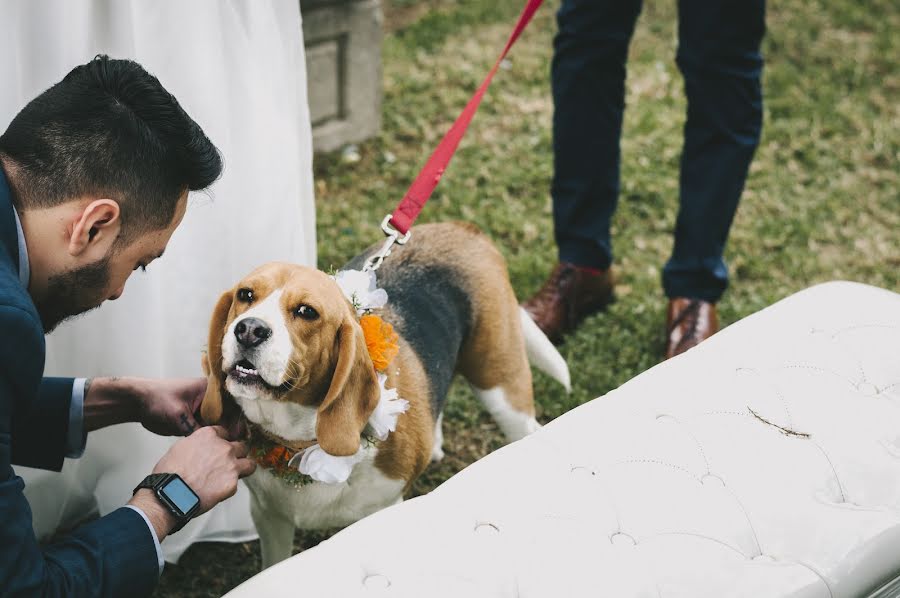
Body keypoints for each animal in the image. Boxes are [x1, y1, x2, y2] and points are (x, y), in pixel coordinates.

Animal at [203, 223, 568, 568]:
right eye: (245, 294)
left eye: (307, 312)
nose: (249, 330)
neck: (299, 441)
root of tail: (465, 229)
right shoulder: (269, 516)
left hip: (501, 386)